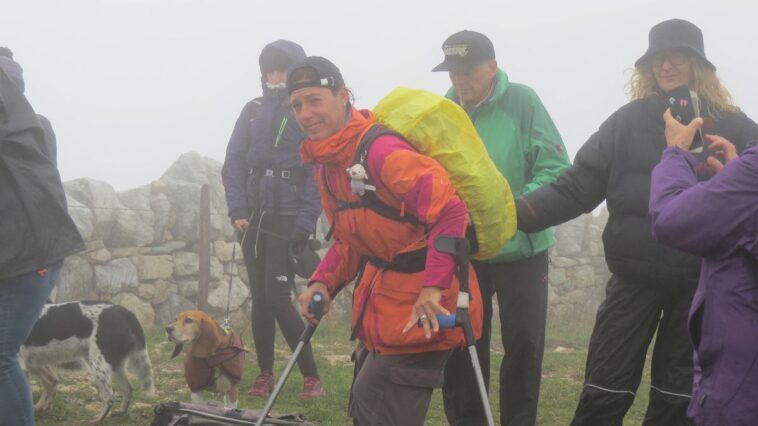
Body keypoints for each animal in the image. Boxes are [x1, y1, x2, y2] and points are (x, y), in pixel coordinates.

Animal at [20, 302, 156, 424]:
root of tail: (126, 312)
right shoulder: (31, 366)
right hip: (115, 366)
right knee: (128, 389)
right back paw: (120, 413)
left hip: (99, 366)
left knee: (109, 398)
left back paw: (96, 420)